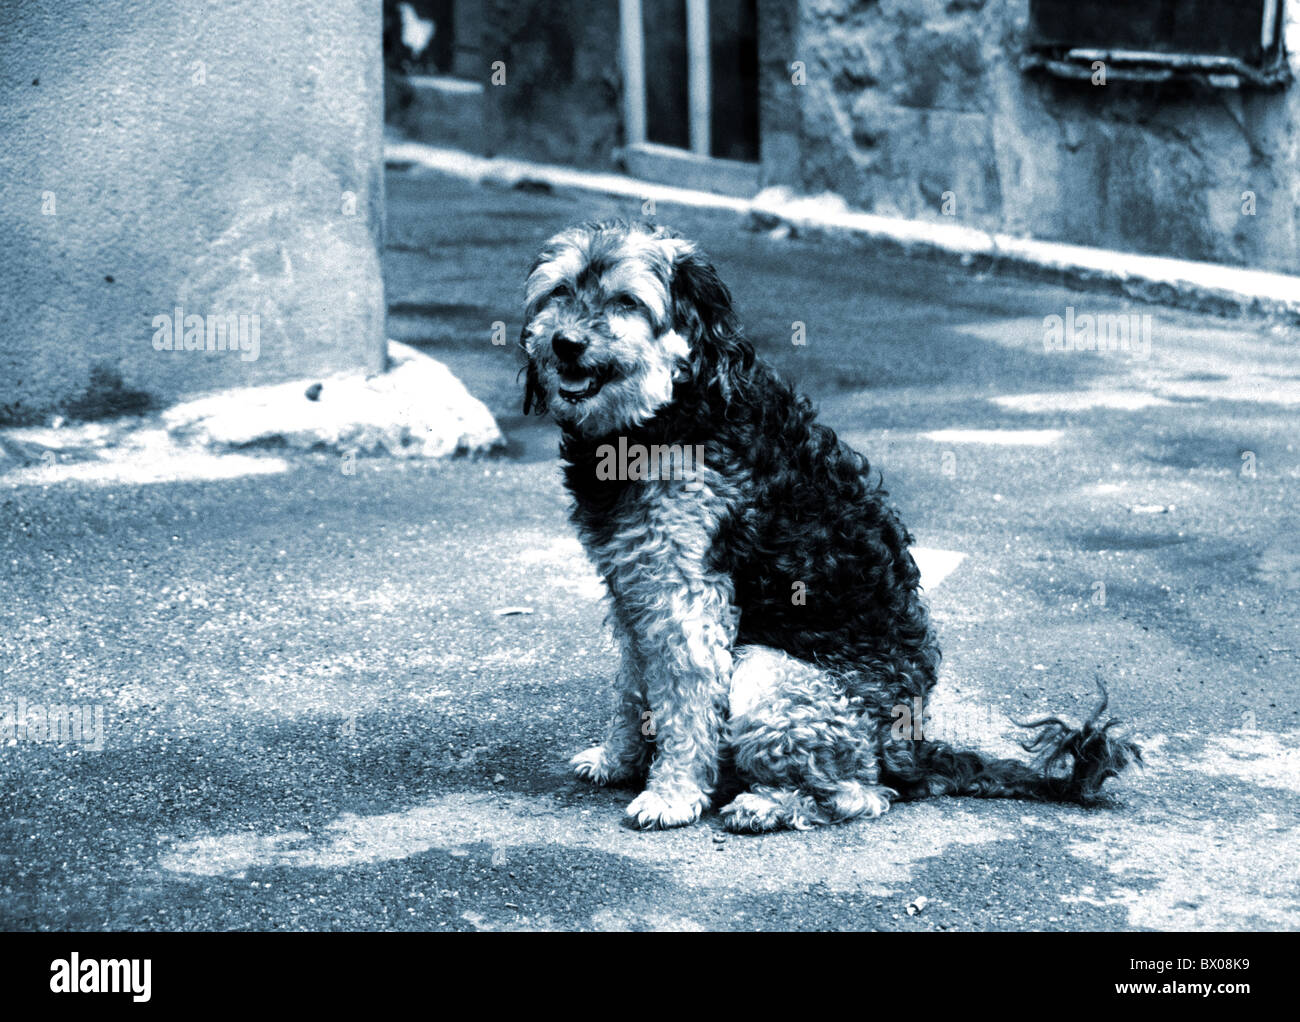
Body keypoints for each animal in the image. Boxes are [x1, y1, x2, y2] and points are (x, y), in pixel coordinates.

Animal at [517, 221, 1138, 826]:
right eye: (559, 291)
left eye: (627, 301)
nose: (565, 344)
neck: (671, 412)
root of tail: (908, 751)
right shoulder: (633, 588)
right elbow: (631, 688)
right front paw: (618, 760)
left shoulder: (687, 599)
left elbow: (685, 705)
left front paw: (672, 794)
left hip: (771, 676)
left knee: (860, 793)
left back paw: (768, 804)